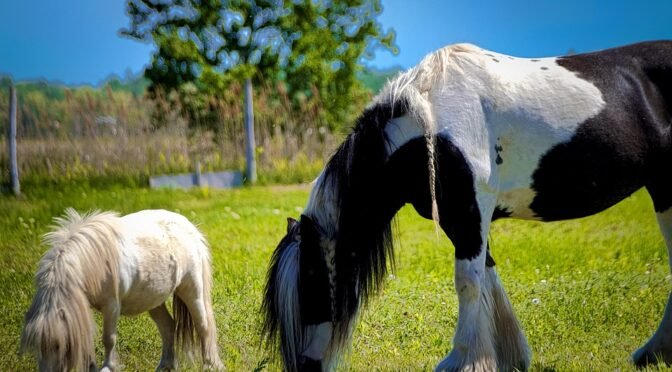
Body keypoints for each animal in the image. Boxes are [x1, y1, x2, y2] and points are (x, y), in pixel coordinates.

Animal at [20, 208, 223, 370]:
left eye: (58, 345)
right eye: (37, 348)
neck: (90, 263)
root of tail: (190, 228)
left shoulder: (111, 306)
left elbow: (109, 339)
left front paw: (108, 367)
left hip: (191, 290)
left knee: (203, 326)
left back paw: (209, 364)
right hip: (153, 299)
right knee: (168, 326)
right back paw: (166, 366)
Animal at [262, 40, 672, 370]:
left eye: (310, 285)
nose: (304, 367)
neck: (430, 122)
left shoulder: (469, 213)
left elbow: (469, 283)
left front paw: (465, 360)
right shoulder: (464, 220)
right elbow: (488, 278)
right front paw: (508, 356)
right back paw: (653, 353)